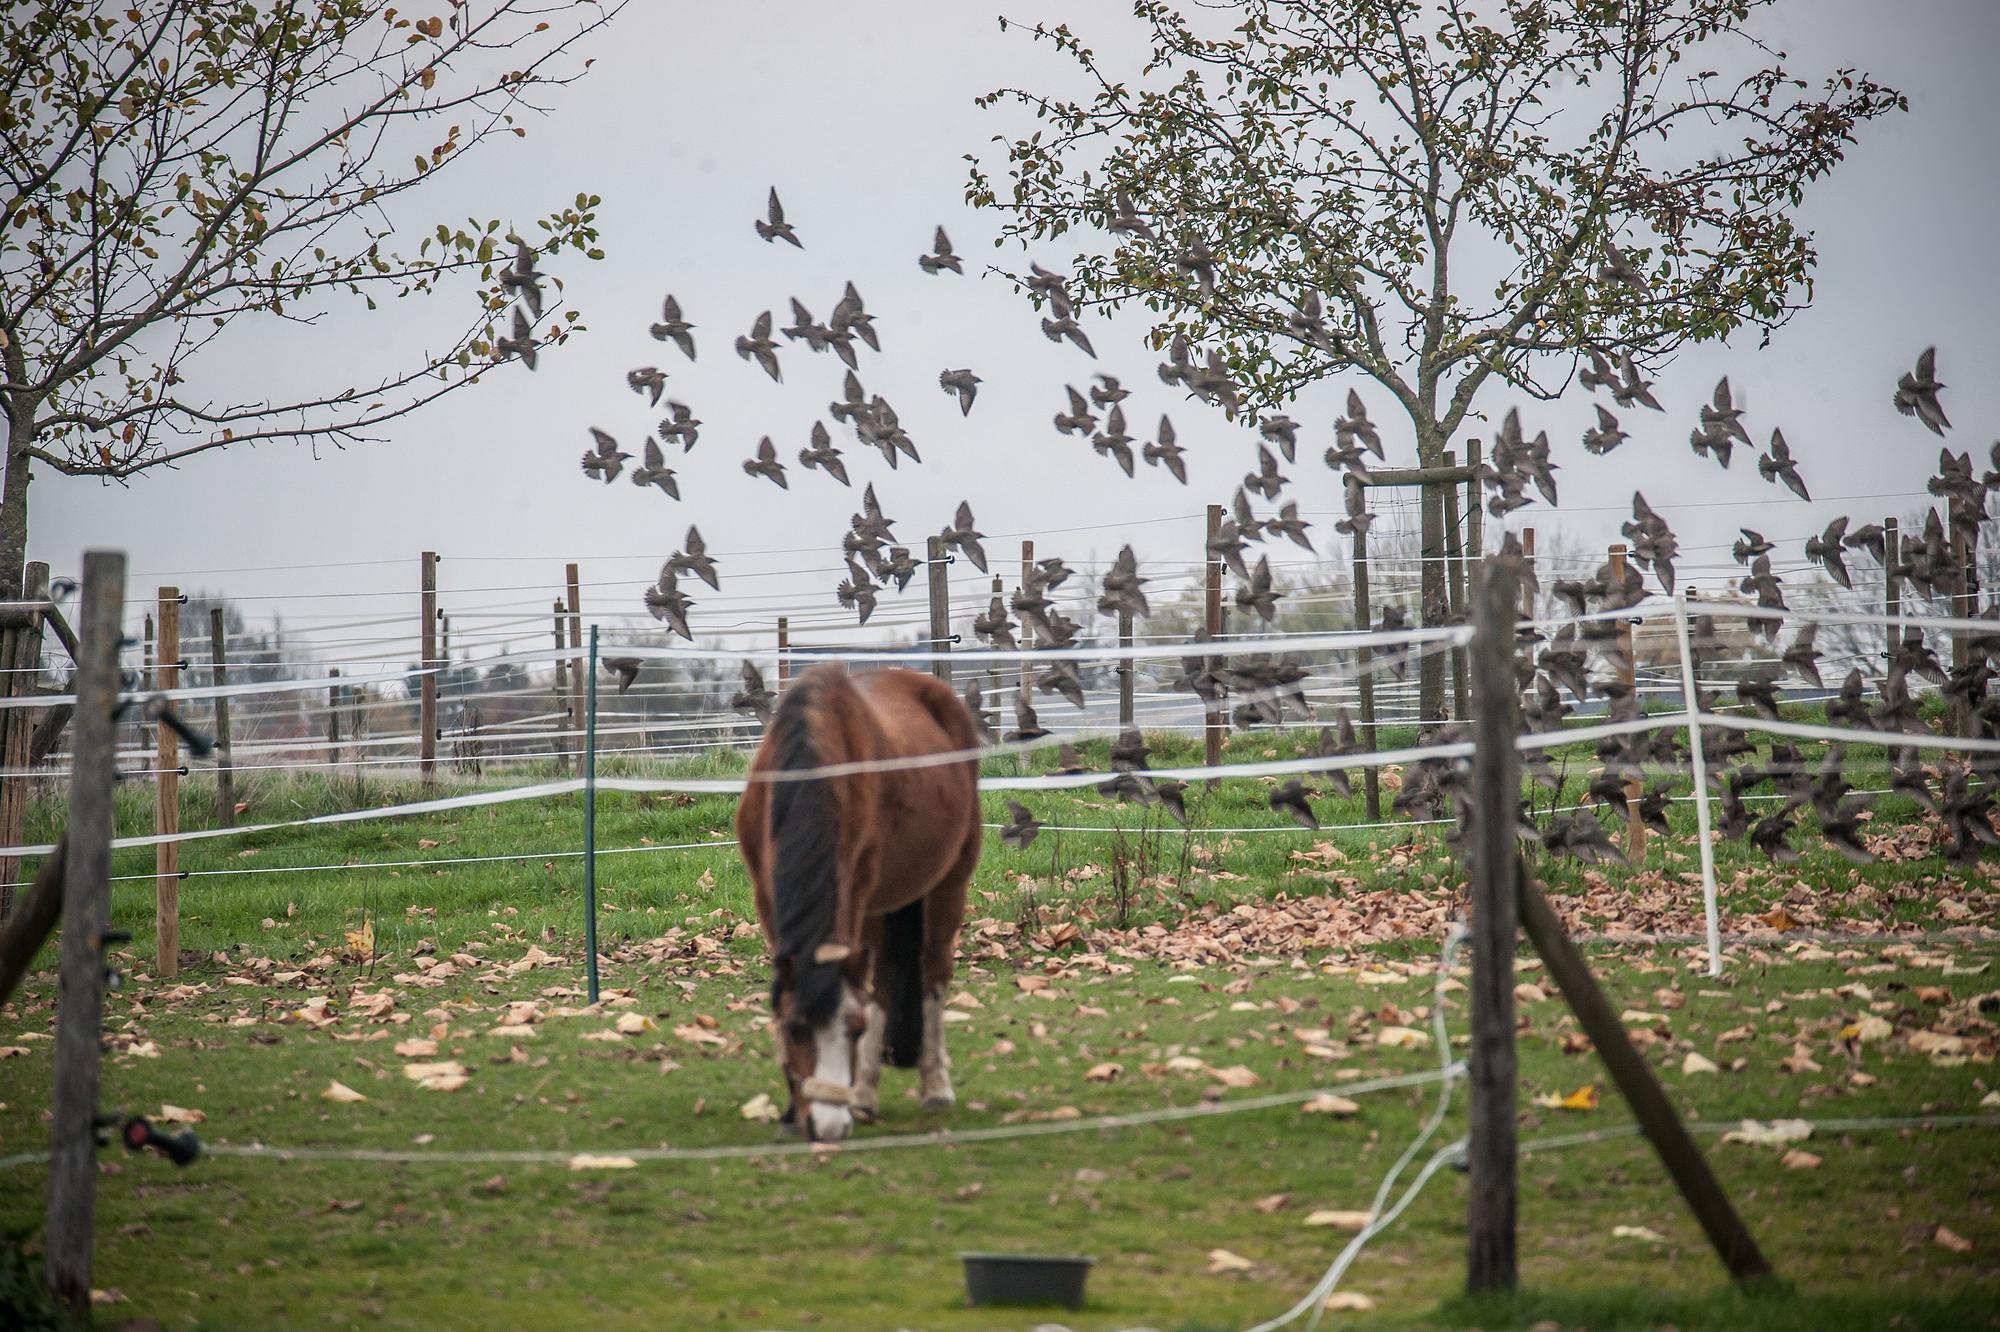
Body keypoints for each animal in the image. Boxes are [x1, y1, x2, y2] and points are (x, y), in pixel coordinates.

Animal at [735, 663, 982, 1142]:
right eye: (794, 1030)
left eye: (854, 1031)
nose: (829, 1128)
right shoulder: (766, 893)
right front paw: (790, 1114)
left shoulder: (858, 895)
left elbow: (873, 996)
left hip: (944, 887)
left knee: (928, 975)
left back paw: (924, 1086)